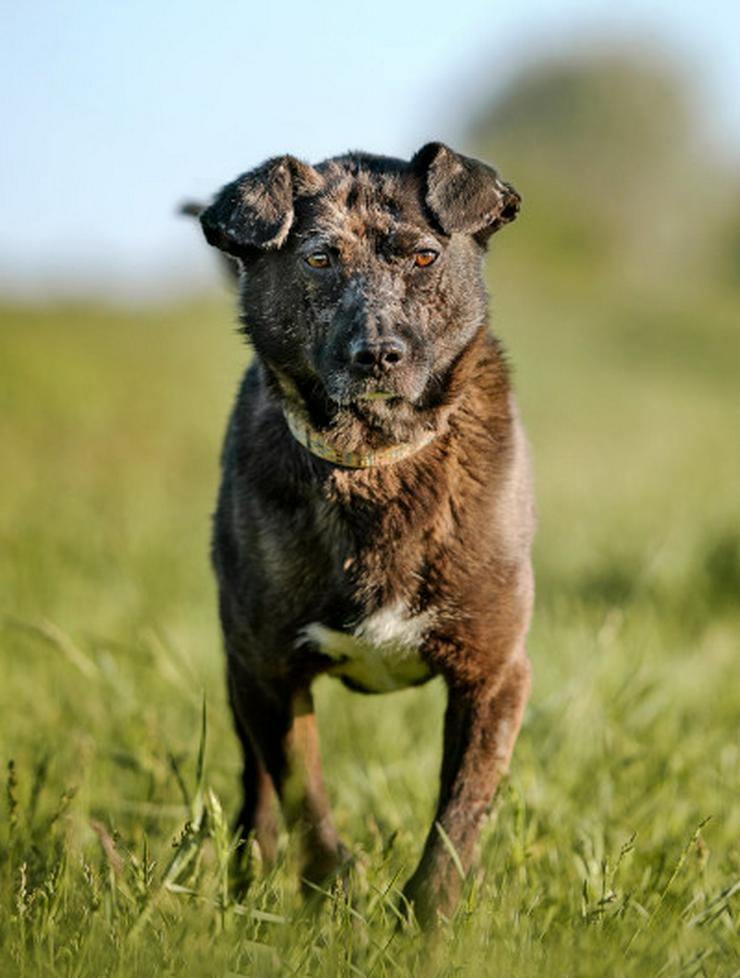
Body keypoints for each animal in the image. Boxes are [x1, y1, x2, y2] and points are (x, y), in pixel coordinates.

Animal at [197, 143, 532, 924]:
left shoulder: (495, 673)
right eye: (319, 259)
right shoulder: (269, 671)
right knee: (257, 792)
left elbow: (459, 816)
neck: (377, 458)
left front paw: (425, 924)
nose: (377, 354)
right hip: (236, 675)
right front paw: (333, 899)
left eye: (424, 256)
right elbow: (303, 796)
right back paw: (246, 881)